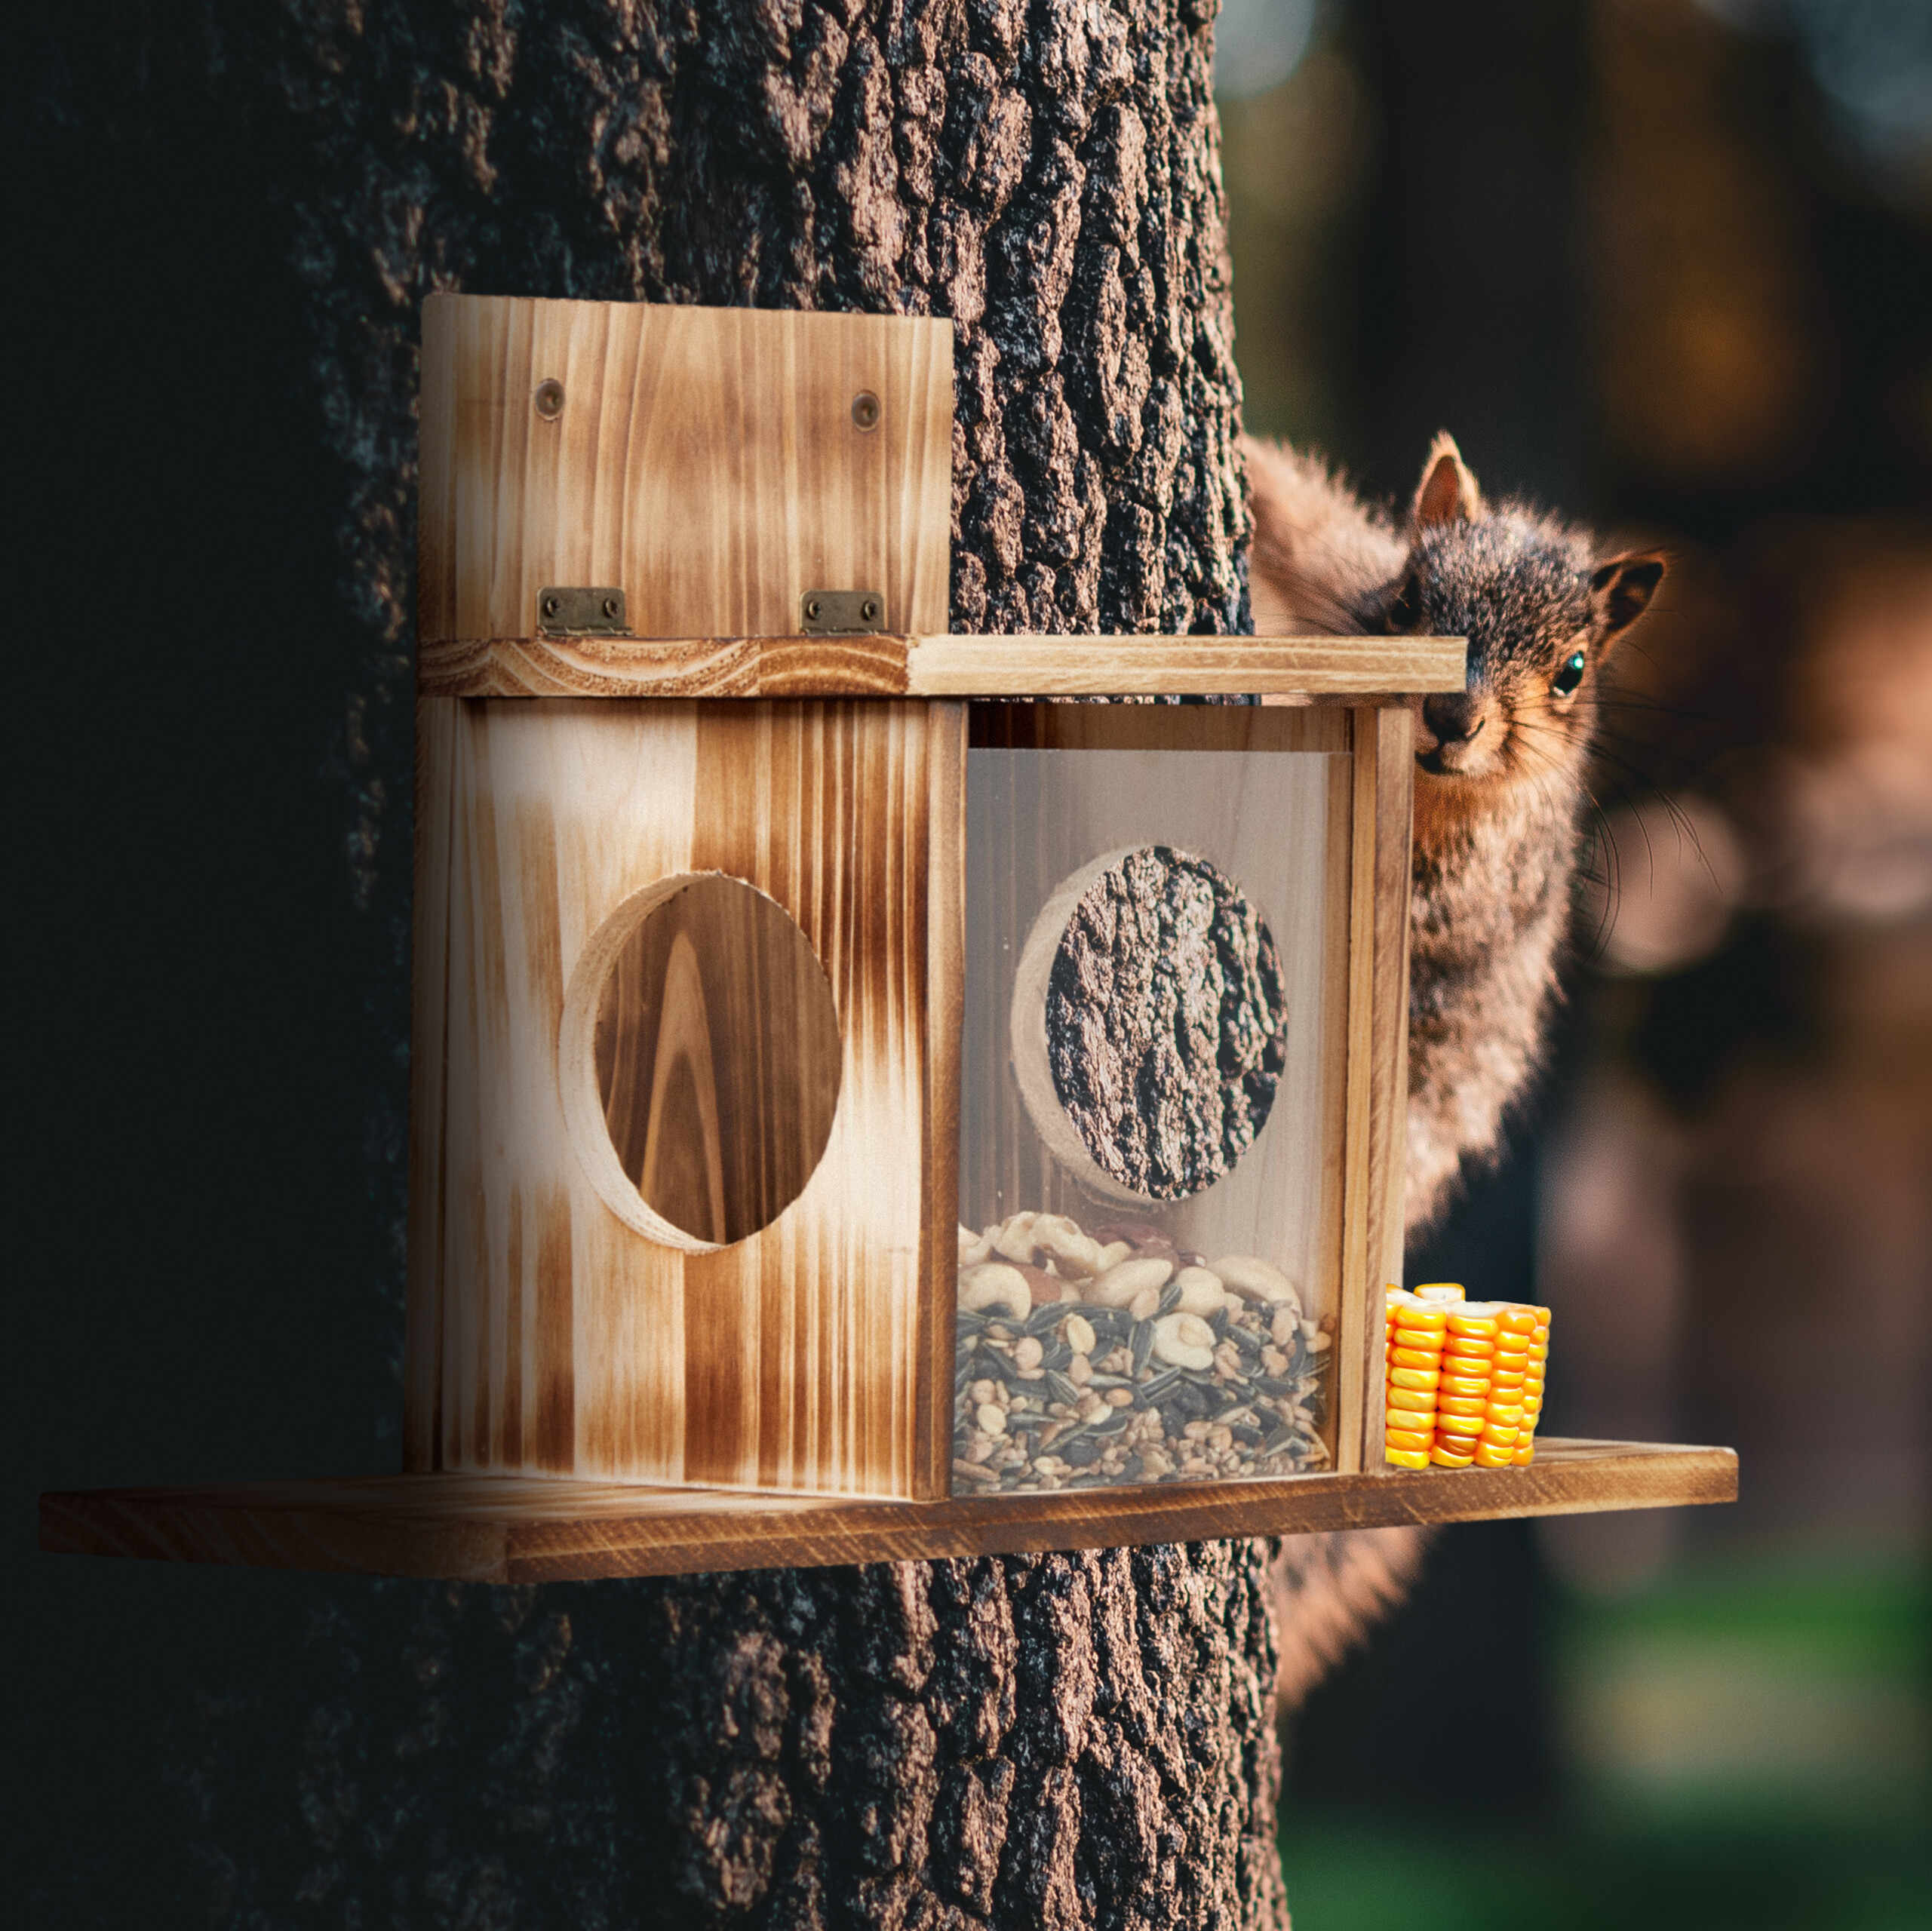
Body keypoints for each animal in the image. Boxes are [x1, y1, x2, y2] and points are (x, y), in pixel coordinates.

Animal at [1242, 430, 1665, 1708]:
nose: (1449, 714)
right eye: (1411, 597)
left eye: (1572, 669)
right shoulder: (1329, 570)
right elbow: (1286, 506)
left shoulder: (1469, 885)